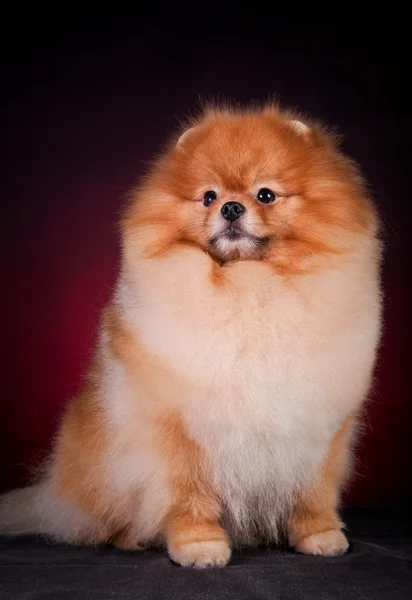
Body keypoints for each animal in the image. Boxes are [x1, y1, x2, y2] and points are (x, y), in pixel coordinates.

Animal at [0, 104, 384, 568]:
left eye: (266, 195)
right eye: (209, 197)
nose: (232, 208)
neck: (248, 287)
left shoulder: (320, 428)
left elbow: (315, 493)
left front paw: (321, 537)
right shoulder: (177, 429)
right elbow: (188, 496)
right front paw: (198, 546)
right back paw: (132, 539)